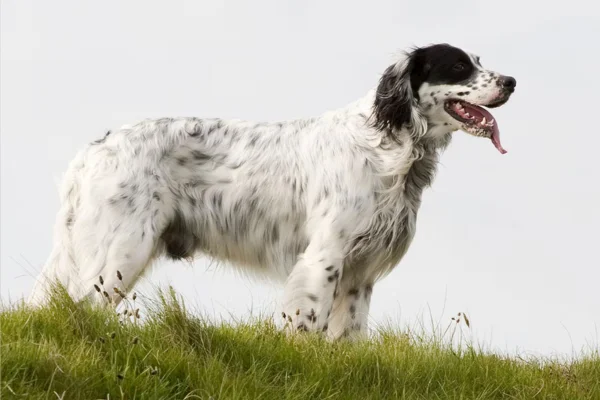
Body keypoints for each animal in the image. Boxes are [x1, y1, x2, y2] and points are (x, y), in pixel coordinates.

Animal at [28, 43, 516, 338]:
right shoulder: (324, 256)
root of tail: (95, 150)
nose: (511, 82)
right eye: (459, 65)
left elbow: (348, 335)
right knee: (77, 307)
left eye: (478, 61)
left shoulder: (361, 275)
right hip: (121, 252)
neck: (388, 147)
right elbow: (307, 322)